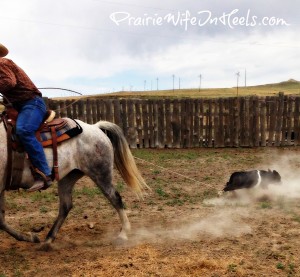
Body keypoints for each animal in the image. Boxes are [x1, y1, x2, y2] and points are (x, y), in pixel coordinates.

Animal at [0, 119, 148, 245]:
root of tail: (95, 127)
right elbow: (1, 220)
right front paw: (29, 237)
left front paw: (30, 237)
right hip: (68, 177)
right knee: (66, 206)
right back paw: (48, 239)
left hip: (100, 174)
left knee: (115, 198)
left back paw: (123, 234)